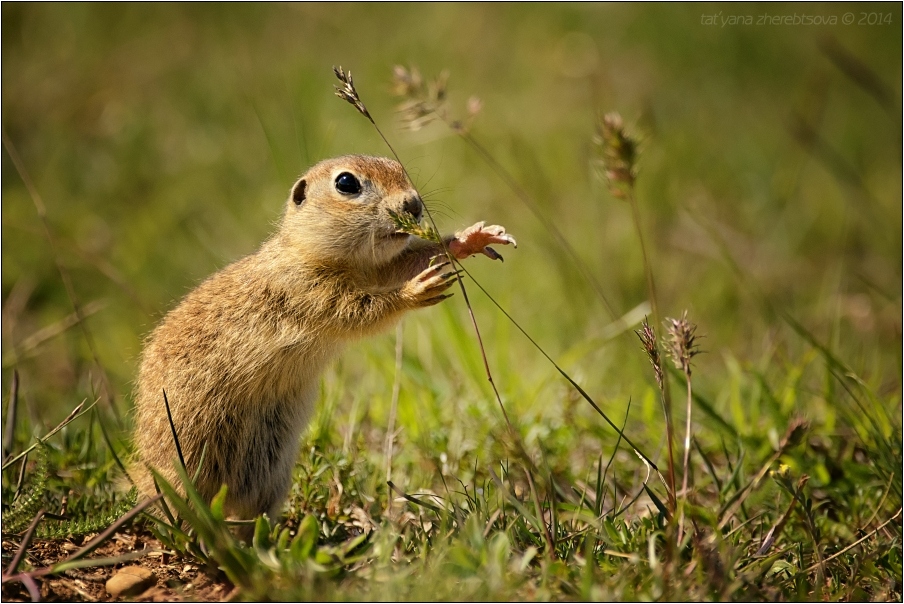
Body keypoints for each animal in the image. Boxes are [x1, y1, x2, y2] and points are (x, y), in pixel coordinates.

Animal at [133, 155, 516, 520]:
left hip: (269, 472)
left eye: (398, 167)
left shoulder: (372, 269)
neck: (310, 251)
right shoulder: (308, 290)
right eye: (346, 183)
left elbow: (402, 264)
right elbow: (361, 311)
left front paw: (472, 239)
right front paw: (416, 290)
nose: (413, 204)